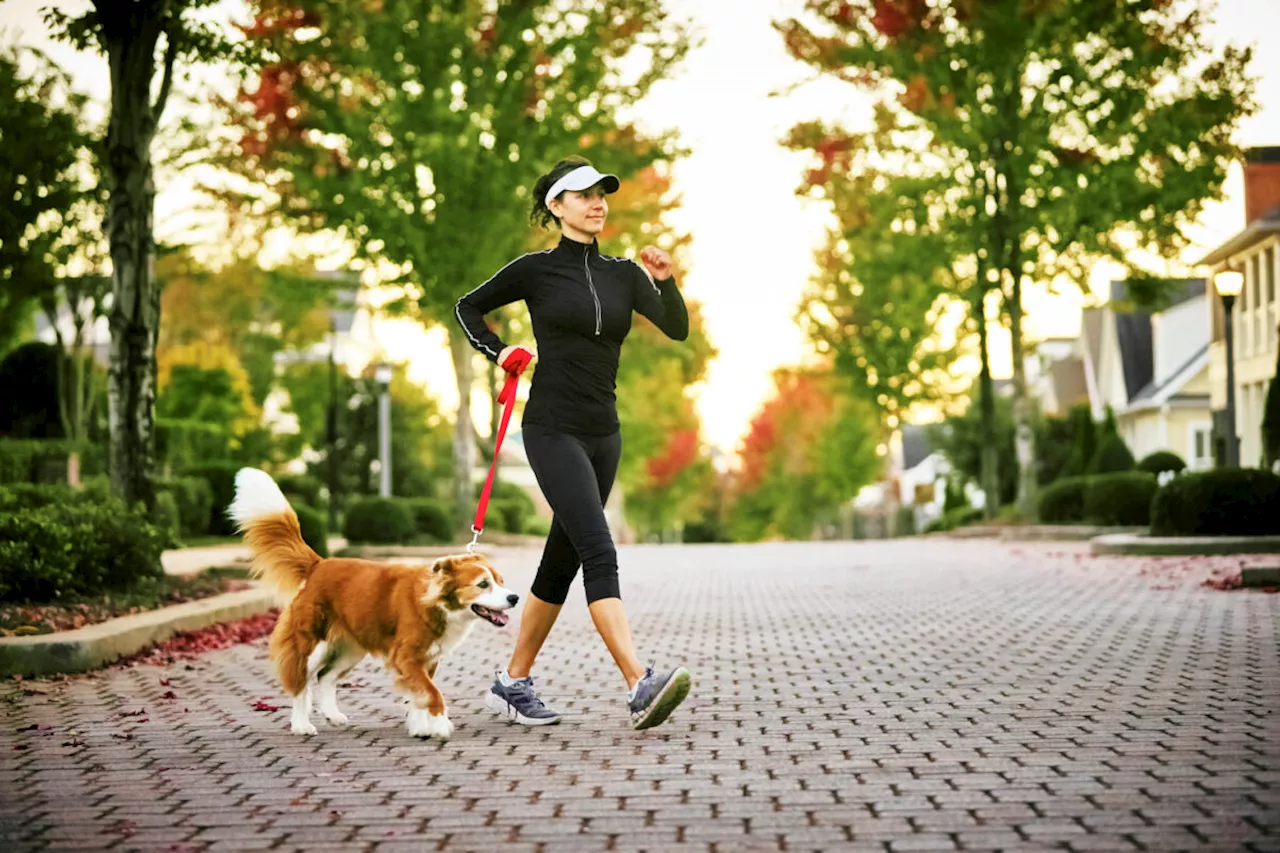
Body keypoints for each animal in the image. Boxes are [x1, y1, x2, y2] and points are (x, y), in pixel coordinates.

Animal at [227, 466, 517, 737]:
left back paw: (332, 715)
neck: (438, 604)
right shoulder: (407, 657)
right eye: (483, 584)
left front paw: (421, 727)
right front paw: (439, 725)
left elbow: (420, 695)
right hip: (311, 642)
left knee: (325, 677)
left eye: (501, 581)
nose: (514, 597)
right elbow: (431, 693)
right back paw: (301, 724)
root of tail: (319, 564)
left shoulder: (428, 659)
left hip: (351, 648)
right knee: (301, 681)